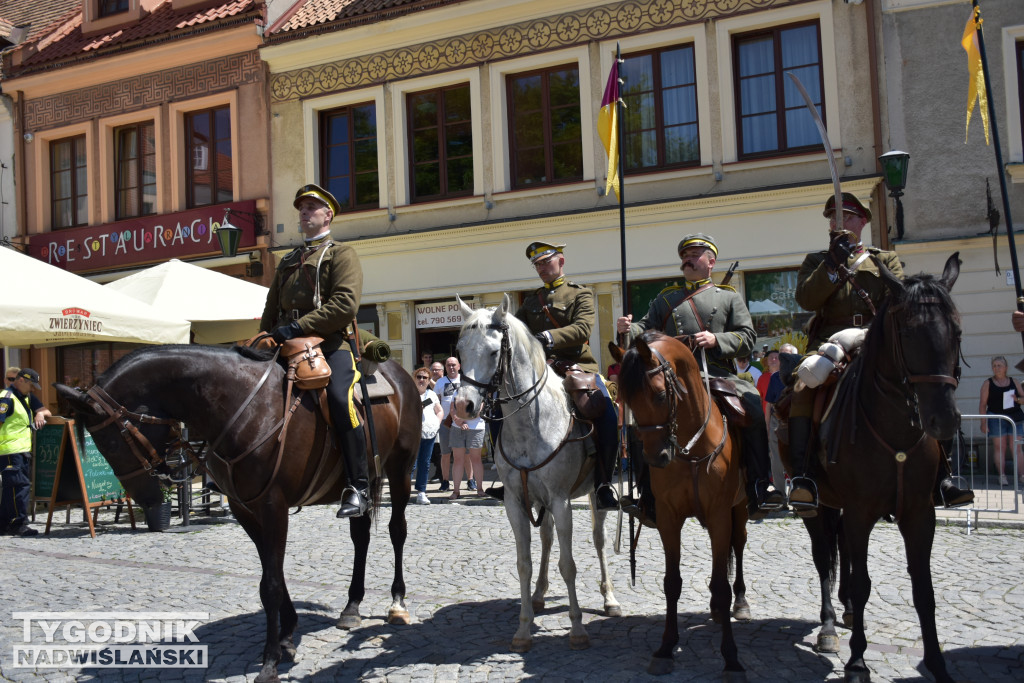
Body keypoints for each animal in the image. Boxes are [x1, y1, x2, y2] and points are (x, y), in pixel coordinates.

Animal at [52, 344, 415, 683]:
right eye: (100, 445)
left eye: (111, 443)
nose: (148, 499)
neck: (244, 406)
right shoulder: (245, 509)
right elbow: (272, 575)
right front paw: (287, 634)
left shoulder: (273, 506)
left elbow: (270, 584)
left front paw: (270, 661)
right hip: (366, 478)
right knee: (361, 536)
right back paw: (352, 606)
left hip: (399, 469)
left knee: (397, 530)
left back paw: (397, 602)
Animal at [452, 294, 618, 651]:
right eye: (459, 350)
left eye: (493, 352)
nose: (462, 407)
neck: (530, 421)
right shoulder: (516, 503)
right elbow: (524, 563)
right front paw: (523, 629)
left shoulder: (561, 501)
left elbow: (568, 565)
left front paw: (577, 629)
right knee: (547, 538)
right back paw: (540, 594)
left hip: (596, 493)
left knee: (598, 540)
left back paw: (610, 598)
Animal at [610, 331, 749, 679]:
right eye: (628, 401)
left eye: (660, 396)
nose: (657, 458)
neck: (691, 448)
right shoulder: (669, 518)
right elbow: (671, 583)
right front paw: (665, 648)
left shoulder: (719, 515)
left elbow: (722, 585)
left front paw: (731, 658)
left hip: (739, 509)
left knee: (738, 546)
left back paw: (740, 602)